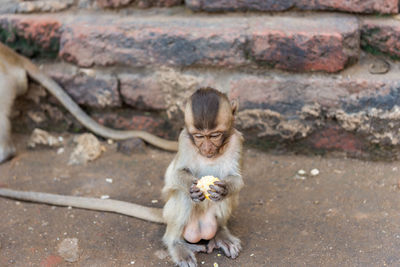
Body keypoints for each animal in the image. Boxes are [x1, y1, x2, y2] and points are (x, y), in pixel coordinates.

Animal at [0, 88, 244, 267]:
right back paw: (176, 244)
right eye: (198, 136)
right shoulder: (183, 139)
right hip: (172, 216)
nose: (207, 148)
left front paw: (222, 189)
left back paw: (220, 233)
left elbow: (237, 180)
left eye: (215, 135)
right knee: (181, 199)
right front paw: (192, 189)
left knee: (228, 198)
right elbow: (175, 176)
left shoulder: (236, 140)